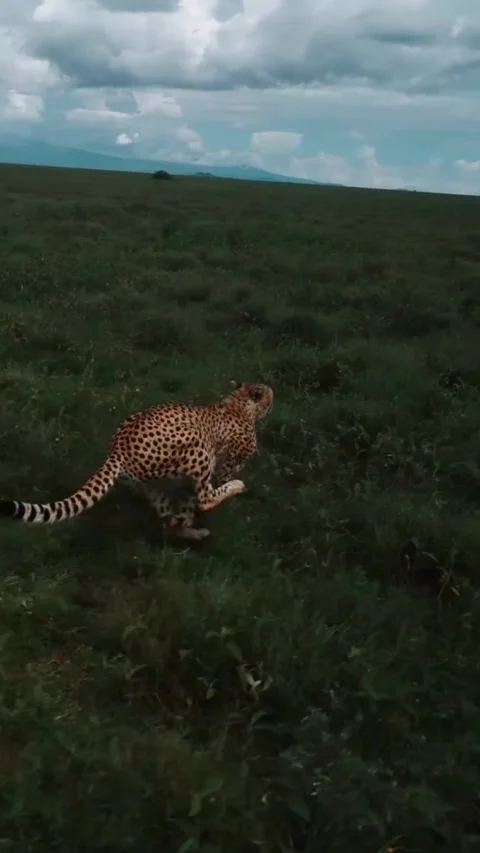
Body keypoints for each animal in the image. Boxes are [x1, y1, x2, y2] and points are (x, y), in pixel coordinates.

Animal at [0, 381, 273, 541]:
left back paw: (194, 533)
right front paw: (233, 482)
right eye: (267, 393)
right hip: (196, 447)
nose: (273, 393)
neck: (238, 402)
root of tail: (117, 450)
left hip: (150, 484)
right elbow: (223, 475)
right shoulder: (225, 460)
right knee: (204, 499)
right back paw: (233, 490)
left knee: (169, 521)